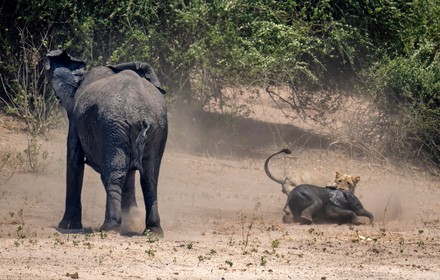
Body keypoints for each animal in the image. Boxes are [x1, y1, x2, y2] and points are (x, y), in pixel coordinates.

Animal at [45, 49, 168, 236]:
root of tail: (143, 115)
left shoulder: (75, 119)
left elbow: (74, 160)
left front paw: (66, 226)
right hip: (156, 128)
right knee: (149, 178)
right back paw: (152, 231)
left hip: (113, 126)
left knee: (113, 174)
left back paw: (109, 228)